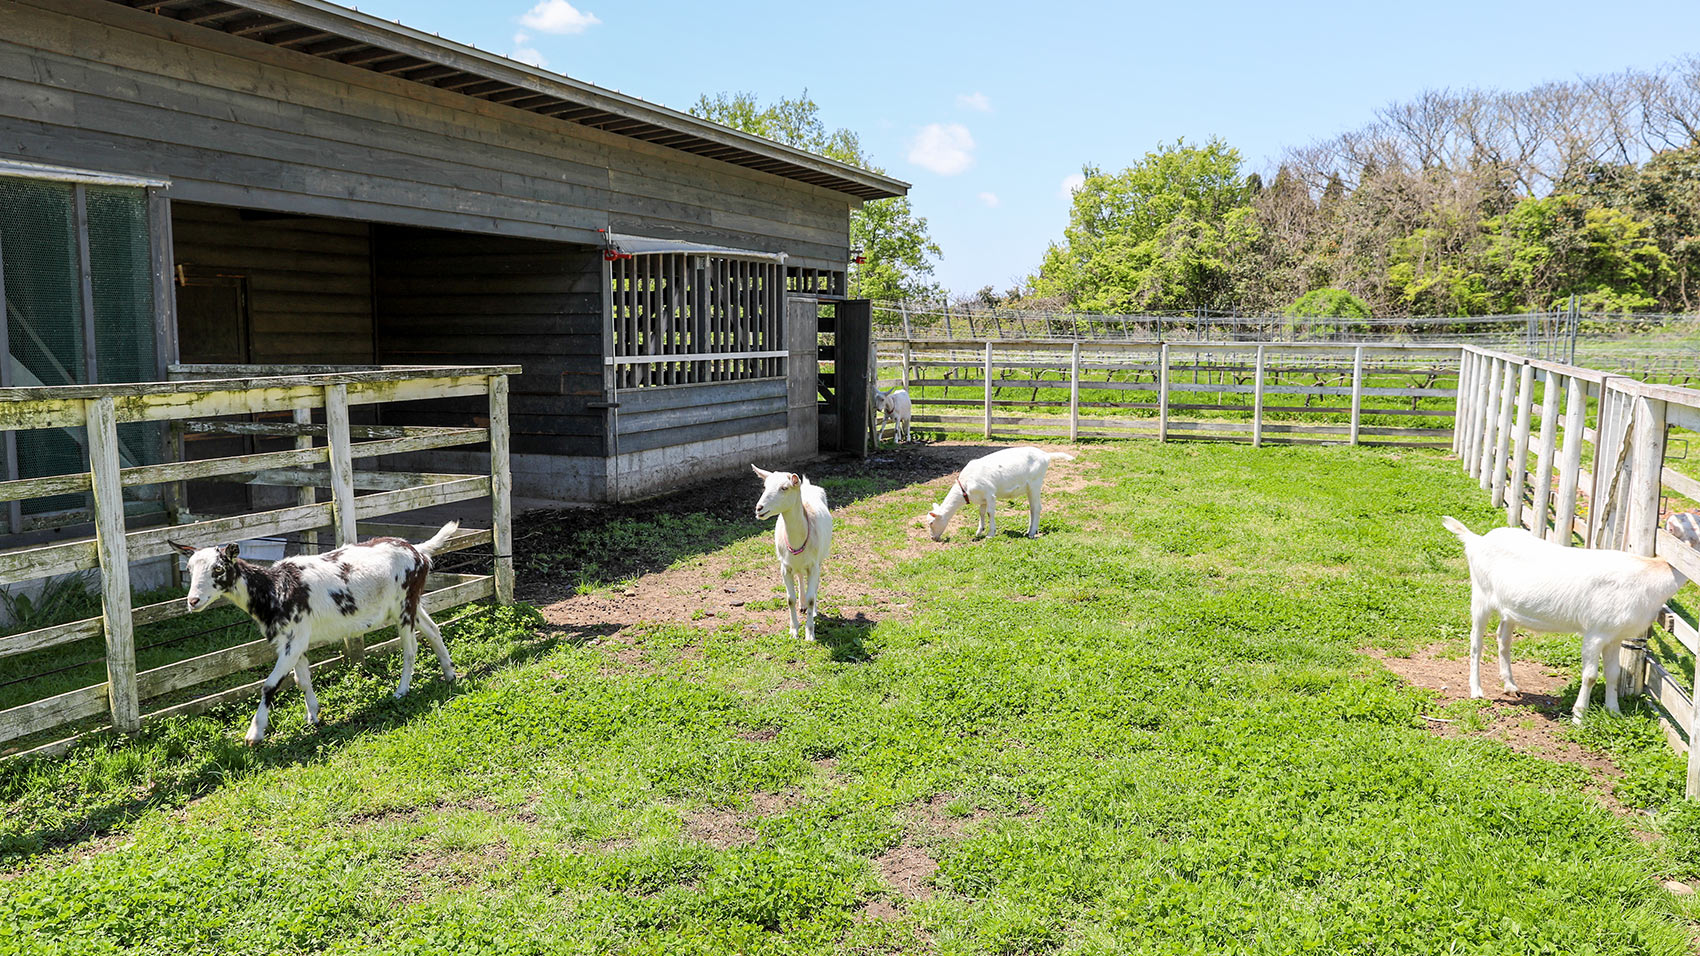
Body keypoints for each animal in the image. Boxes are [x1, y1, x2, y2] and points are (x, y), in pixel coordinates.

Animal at [169, 517, 462, 741]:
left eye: (219, 569)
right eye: (189, 569)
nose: (193, 601)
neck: (274, 588)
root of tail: (419, 551)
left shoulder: (294, 639)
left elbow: (269, 685)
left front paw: (255, 733)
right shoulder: (293, 638)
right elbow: (302, 680)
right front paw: (313, 716)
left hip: (404, 606)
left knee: (410, 649)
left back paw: (402, 691)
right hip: (411, 604)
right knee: (433, 629)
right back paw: (450, 674)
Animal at [758, 462, 836, 639]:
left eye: (784, 488)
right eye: (764, 486)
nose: (759, 508)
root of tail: (805, 484)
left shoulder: (813, 565)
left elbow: (811, 597)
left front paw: (810, 634)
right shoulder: (784, 567)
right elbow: (790, 599)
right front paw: (794, 630)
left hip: (819, 560)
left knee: (814, 585)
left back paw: (812, 610)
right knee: (800, 576)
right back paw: (802, 605)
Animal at [931, 445, 1074, 540]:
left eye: (931, 523)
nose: (933, 538)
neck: (965, 486)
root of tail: (1046, 455)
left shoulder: (990, 494)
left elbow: (990, 513)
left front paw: (990, 534)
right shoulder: (982, 498)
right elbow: (981, 512)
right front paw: (979, 531)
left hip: (1035, 483)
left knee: (1037, 507)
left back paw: (1032, 533)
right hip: (1029, 488)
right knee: (1032, 508)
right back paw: (1029, 531)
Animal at [1441, 517, 1679, 717]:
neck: (1647, 574)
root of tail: (1477, 540)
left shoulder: (1615, 636)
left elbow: (1613, 674)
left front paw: (1614, 712)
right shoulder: (1595, 633)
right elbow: (1590, 676)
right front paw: (1579, 715)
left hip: (1508, 608)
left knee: (1503, 639)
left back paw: (1510, 685)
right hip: (1481, 594)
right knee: (1476, 641)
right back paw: (1476, 690)